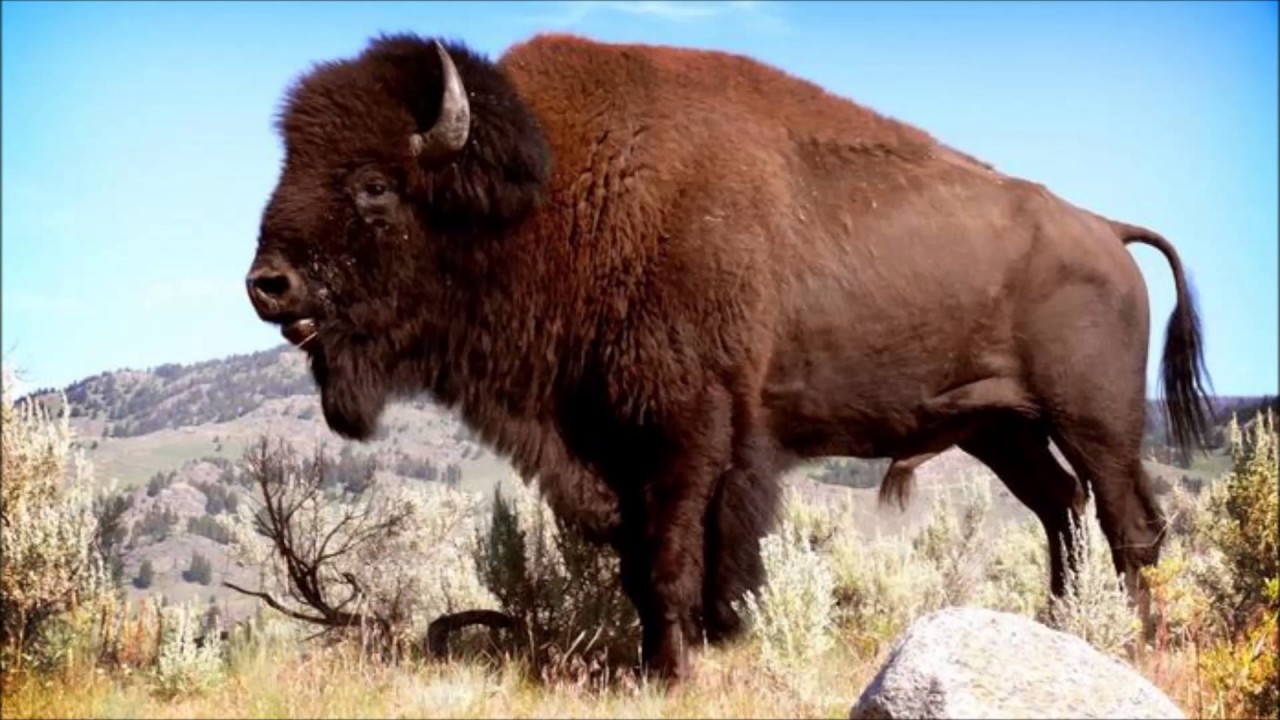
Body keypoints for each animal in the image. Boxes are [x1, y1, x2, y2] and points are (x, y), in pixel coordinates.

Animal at [246, 33, 1212, 682]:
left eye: (374, 184)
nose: (268, 284)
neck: (558, 189)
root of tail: (1104, 228)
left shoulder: (689, 426)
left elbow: (672, 554)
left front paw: (672, 670)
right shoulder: (611, 439)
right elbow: (660, 557)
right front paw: (695, 650)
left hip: (1092, 421)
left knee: (1127, 522)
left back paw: (1133, 642)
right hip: (999, 428)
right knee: (1062, 509)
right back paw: (1065, 625)